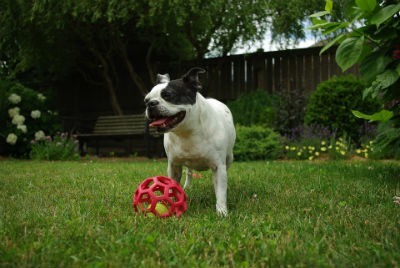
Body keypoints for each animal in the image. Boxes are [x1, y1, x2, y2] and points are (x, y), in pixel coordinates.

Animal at [145, 68, 236, 217]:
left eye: (168, 95)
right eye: (146, 100)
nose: (151, 104)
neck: (187, 132)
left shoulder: (218, 166)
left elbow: (221, 191)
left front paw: (222, 211)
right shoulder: (174, 166)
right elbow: (171, 187)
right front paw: (169, 204)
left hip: (228, 159)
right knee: (189, 171)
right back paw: (187, 186)